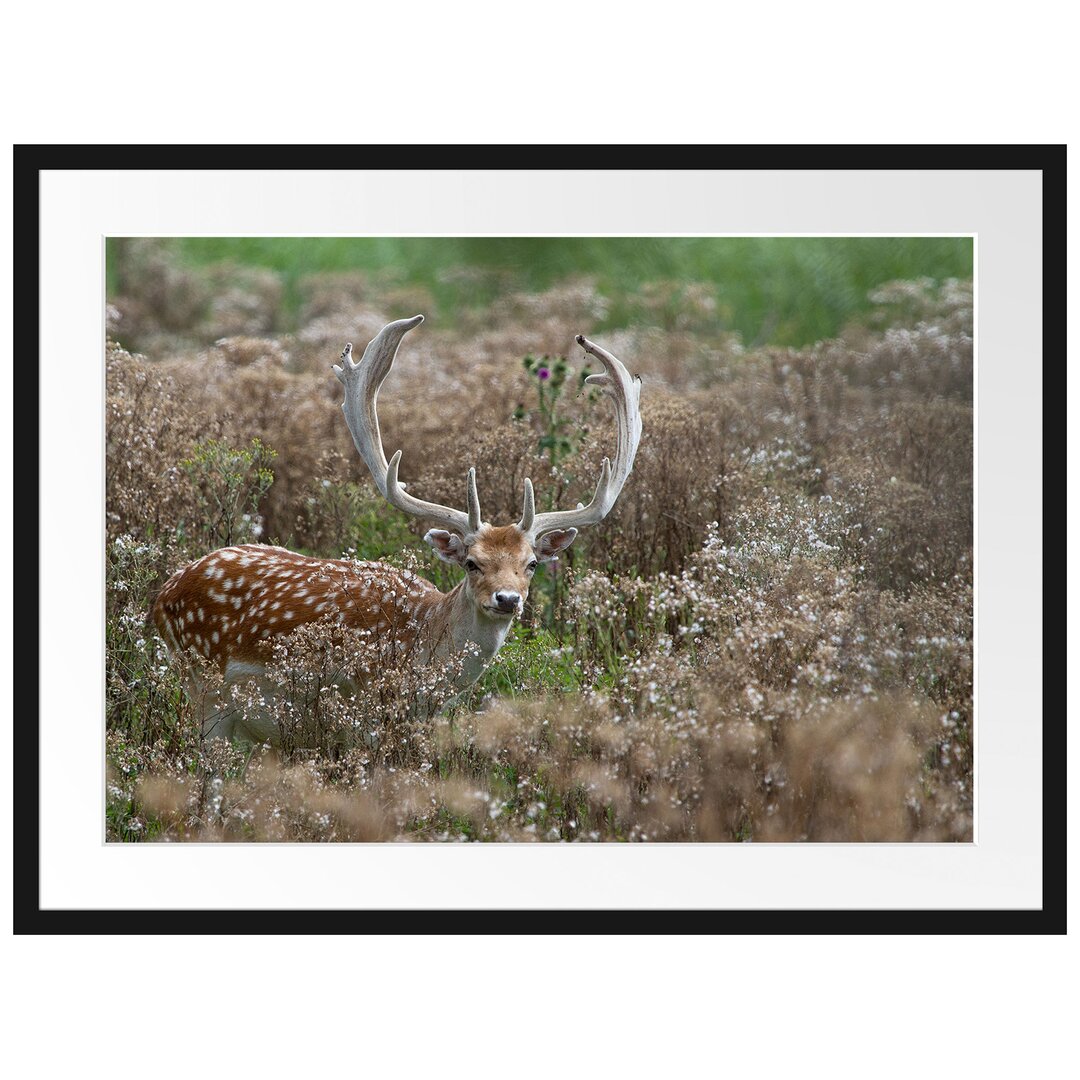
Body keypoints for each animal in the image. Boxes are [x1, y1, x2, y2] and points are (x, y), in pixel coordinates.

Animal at [152, 315, 639, 747]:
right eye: (471, 563)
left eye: (532, 563)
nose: (507, 599)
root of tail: (162, 594)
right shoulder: (360, 713)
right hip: (204, 687)